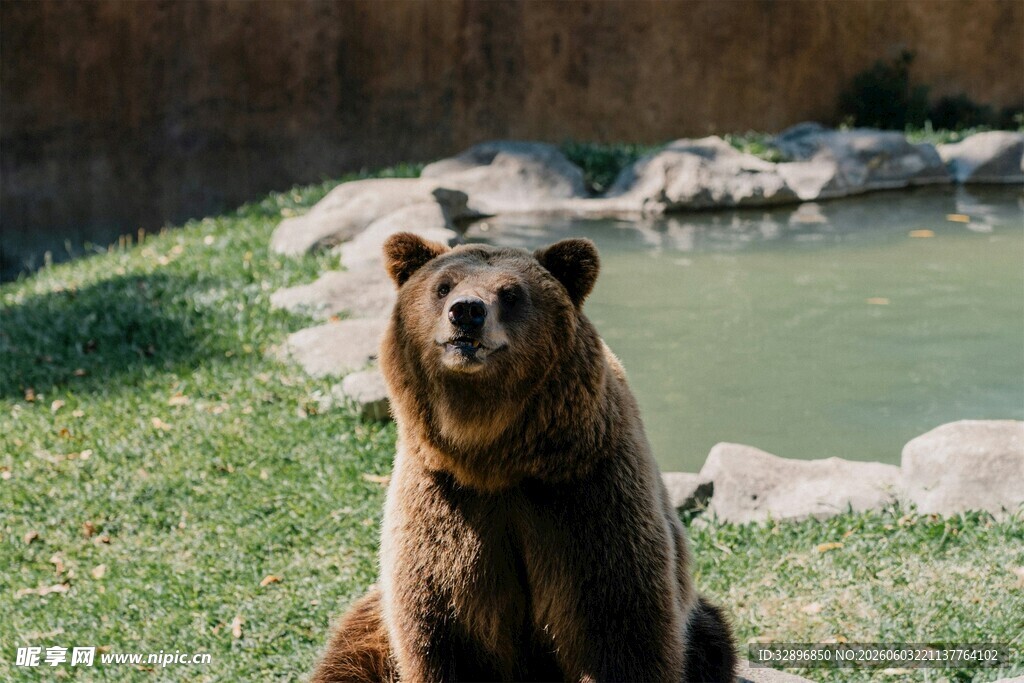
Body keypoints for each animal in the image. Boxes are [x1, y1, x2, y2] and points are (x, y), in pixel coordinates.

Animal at [311, 233, 736, 682]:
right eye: (443, 286)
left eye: (511, 293)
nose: (467, 312)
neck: (494, 456)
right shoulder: (444, 507)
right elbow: (444, 628)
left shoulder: (587, 496)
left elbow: (618, 628)